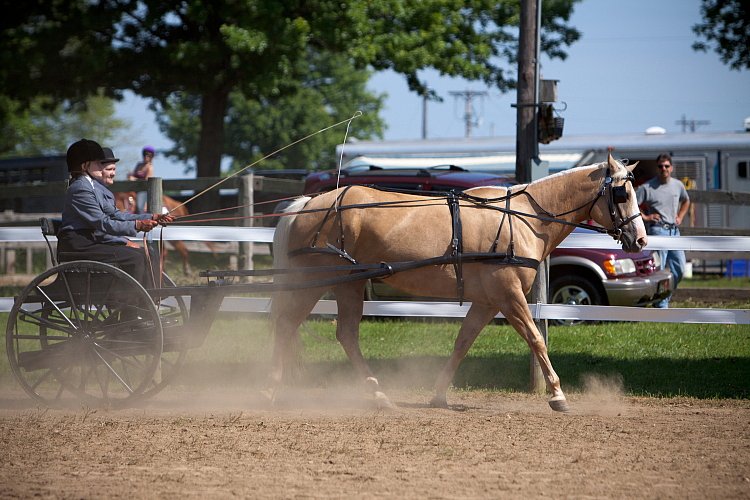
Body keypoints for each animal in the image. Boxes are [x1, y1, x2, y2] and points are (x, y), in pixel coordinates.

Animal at [268, 155, 648, 410]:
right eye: (622, 194)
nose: (641, 240)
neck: (523, 218)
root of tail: (306, 204)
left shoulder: (488, 301)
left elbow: (462, 343)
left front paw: (438, 394)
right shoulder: (510, 296)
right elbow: (536, 339)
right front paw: (557, 394)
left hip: (348, 284)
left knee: (344, 334)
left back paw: (377, 394)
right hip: (317, 281)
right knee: (286, 325)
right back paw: (275, 389)